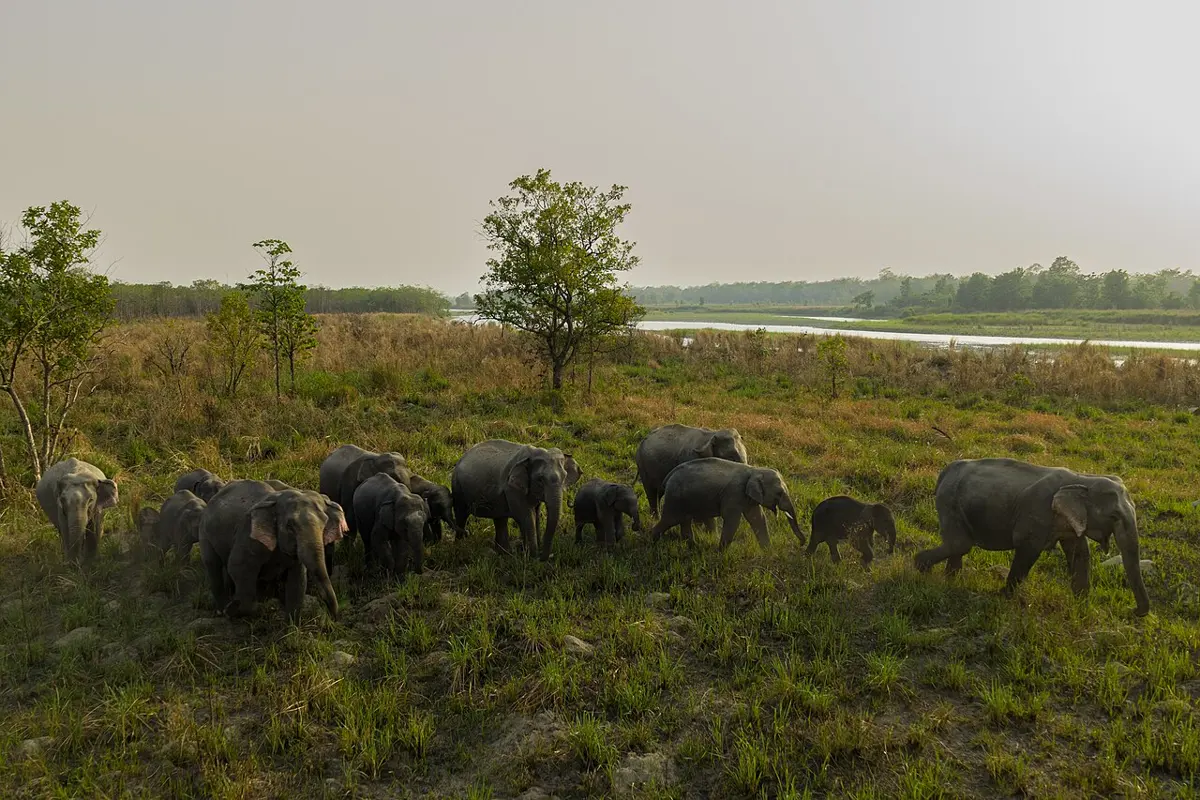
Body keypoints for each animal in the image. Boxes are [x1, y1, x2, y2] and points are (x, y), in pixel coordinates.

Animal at [198, 479, 346, 623]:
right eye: (289, 526)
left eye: (325, 523)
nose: (334, 619)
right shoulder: (247, 536)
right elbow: (237, 568)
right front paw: (230, 610)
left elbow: (297, 581)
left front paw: (291, 626)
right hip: (204, 532)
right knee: (212, 564)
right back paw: (221, 609)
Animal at [451, 440, 581, 559]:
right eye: (540, 480)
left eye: (564, 477)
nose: (545, 557)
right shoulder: (511, 488)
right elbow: (526, 516)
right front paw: (531, 557)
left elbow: (535, 514)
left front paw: (528, 553)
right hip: (457, 488)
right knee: (461, 515)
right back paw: (459, 546)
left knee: (500, 519)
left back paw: (504, 553)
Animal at [649, 458, 804, 550]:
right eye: (779, 493)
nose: (802, 543)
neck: (754, 470)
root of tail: (670, 475)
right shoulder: (734, 494)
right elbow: (733, 520)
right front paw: (721, 552)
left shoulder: (747, 497)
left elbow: (758, 518)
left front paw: (768, 552)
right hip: (675, 498)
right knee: (671, 519)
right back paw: (652, 540)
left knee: (684, 520)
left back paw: (693, 546)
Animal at [914, 458, 1150, 617]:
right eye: (1114, 516)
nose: (1133, 611)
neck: (1083, 478)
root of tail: (945, 471)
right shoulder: (1037, 514)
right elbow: (1027, 550)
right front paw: (1003, 597)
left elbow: (1080, 554)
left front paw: (1082, 607)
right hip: (949, 501)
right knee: (960, 544)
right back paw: (921, 569)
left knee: (959, 546)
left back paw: (950, 581)